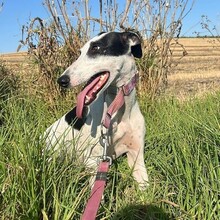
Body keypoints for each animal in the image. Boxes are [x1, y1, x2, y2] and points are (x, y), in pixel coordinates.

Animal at [43, 31, 149, 189]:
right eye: (80, 52)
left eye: (96, 48)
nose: (62, 80)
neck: (118, 111)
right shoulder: (94, 161)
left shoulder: (136, 156)